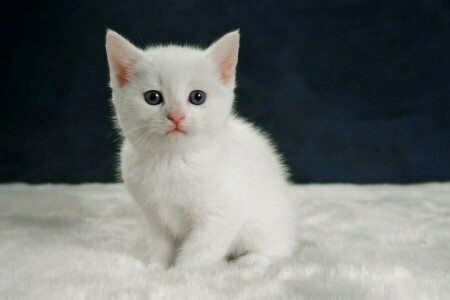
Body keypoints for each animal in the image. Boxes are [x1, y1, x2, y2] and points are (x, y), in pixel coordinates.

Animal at [104, 29, 296, 270]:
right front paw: (157, 268)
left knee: (279, 249)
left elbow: (200, 250)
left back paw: (252, 260)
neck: (172, 160)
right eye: (152, 97)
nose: (176, 116)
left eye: (197, 97)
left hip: (268, 224)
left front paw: (182, 272)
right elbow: (161, 245)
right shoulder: (154, 217)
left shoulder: (223, 213)